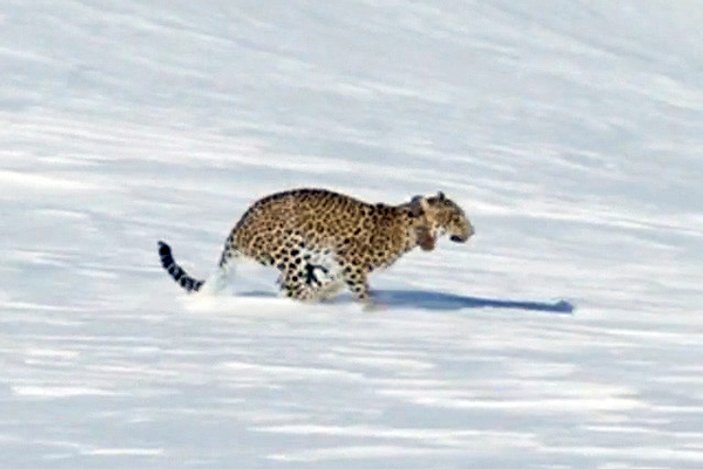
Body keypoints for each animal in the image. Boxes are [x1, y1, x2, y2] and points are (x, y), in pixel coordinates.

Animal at [159, 188, 476, 306]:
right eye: (456, 217)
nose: (472, 232)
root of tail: (238, 227)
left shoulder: (336, 263)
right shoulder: (350, 261)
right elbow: (362, 292)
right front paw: (372, 310)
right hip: (289, 248)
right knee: (293, 288)